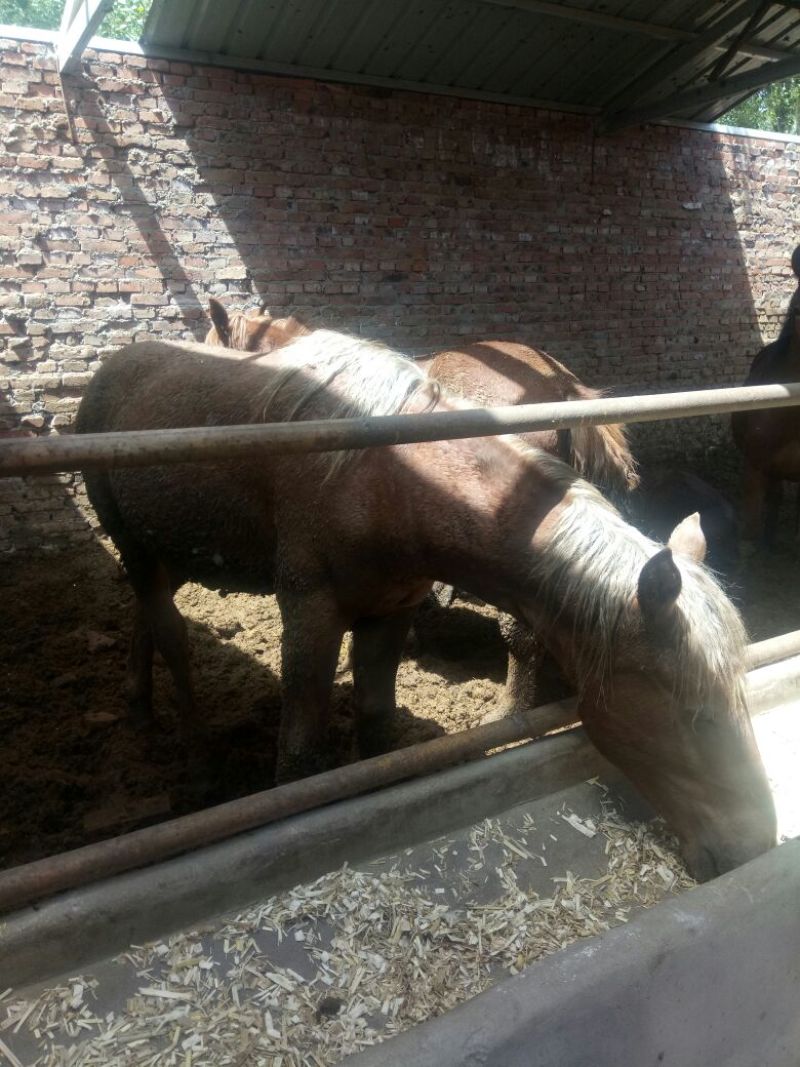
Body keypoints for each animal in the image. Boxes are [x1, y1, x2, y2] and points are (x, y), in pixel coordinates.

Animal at [75, 329, 776, 881]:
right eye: (693, 715)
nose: (756, 843)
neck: (386, 480)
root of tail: (114, 365)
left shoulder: (392, 611)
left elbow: (378, 725)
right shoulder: (310, 612)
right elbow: (300, 757)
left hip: (162, 551)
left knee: (149, 619)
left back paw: (140, 703)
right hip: (135, 548)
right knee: (169, 633)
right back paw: (192, 757)